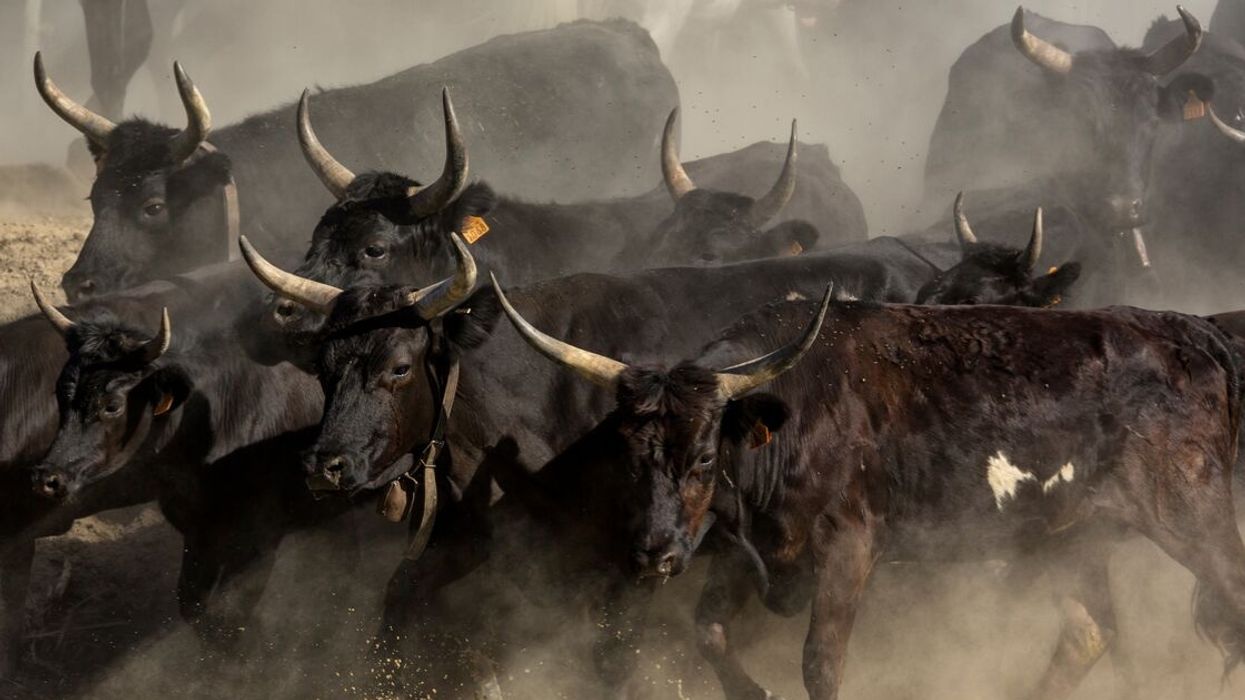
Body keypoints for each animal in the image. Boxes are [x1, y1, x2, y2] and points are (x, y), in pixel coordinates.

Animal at [493, 282, 1245, 700]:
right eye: (628, 458)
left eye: (705, 458)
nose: (654, 555)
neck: (794, 410)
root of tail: (1193, 333)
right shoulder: (754, 550)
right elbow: (709, 634)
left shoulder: (848, 548)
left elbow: (821, 663)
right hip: (1068, 537)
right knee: (1088, 634)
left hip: (1192, 517)